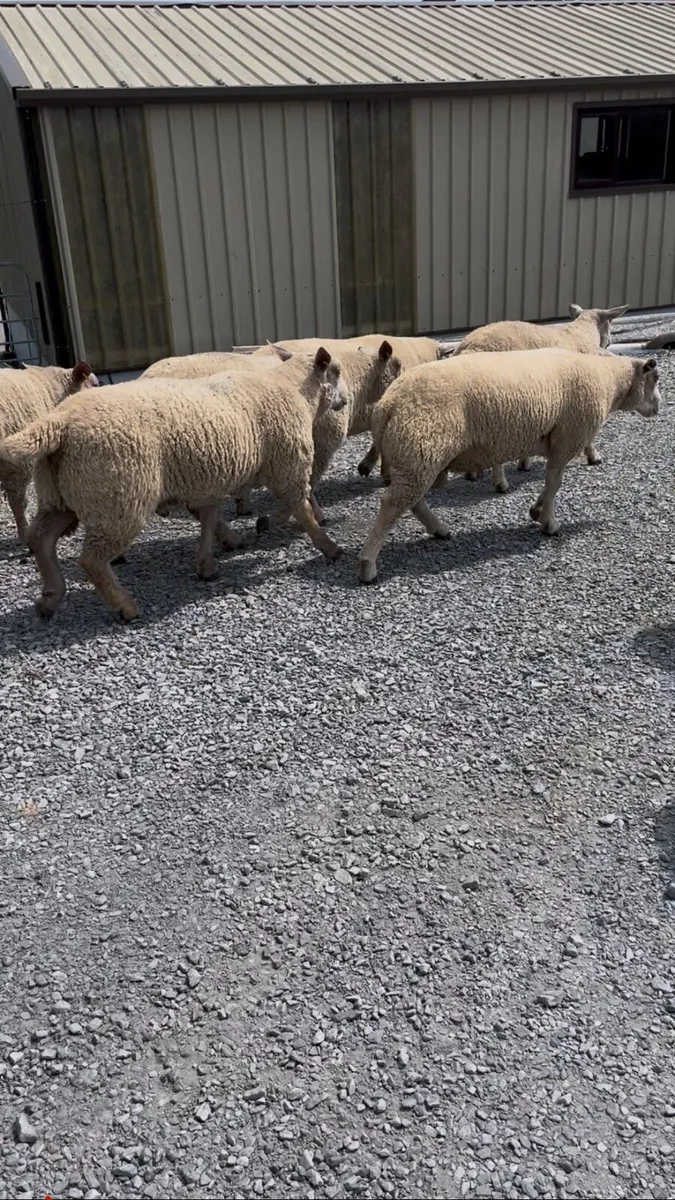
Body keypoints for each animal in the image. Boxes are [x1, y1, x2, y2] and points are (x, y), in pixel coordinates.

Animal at [357, 348, 660, 584]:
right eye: (655, 379)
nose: (659, 408)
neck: (608, 380)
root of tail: (387, 405)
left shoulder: (555, 443)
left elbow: (550, 483)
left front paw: (537, 510)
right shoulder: (566, 439)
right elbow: (554, 483)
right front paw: (549, 524)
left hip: (420, 457)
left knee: (413, 501)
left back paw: (439, 529)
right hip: (421, 450)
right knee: (392, 505)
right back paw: (368, 565)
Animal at [453, 303, 629, 490]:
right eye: (610, 322)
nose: (610, 343)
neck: (582, 333)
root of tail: (469, 349)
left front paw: (524, 463)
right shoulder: (588, 397)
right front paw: (594, 457)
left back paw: (471, 474)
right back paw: (501, 484)